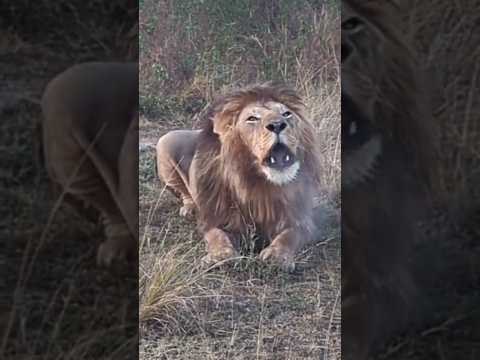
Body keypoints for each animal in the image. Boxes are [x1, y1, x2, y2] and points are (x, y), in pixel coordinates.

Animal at [158, 83, 322, 272]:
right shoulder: (215, 217)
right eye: (252, 118)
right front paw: (221, 255)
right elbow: (217, 235)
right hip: (165, 141)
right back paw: (190, 209)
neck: (258, 183)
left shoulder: (300, 218)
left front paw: (277, 256)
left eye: (286, 114)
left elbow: (289, 235)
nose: (278, 124)